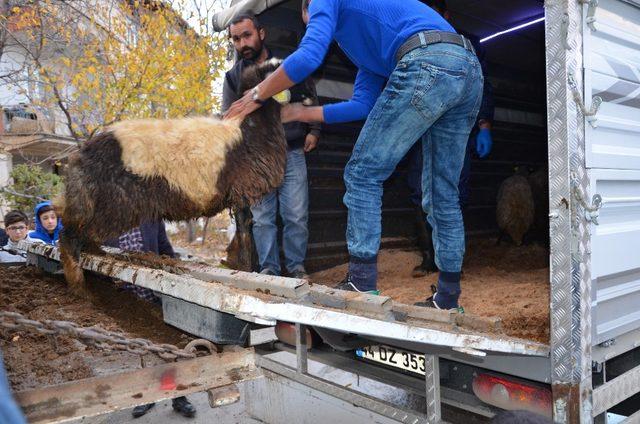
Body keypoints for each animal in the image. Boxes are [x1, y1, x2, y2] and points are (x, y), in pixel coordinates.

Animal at [57, 58, 288, 294]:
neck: (249, 124)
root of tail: (81, 155)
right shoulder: (242, 190)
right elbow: (245, 230)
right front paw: (246, 267)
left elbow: (244, 229)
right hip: (113, 205)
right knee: (68, 236)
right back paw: (79, 285)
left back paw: (96, 253)